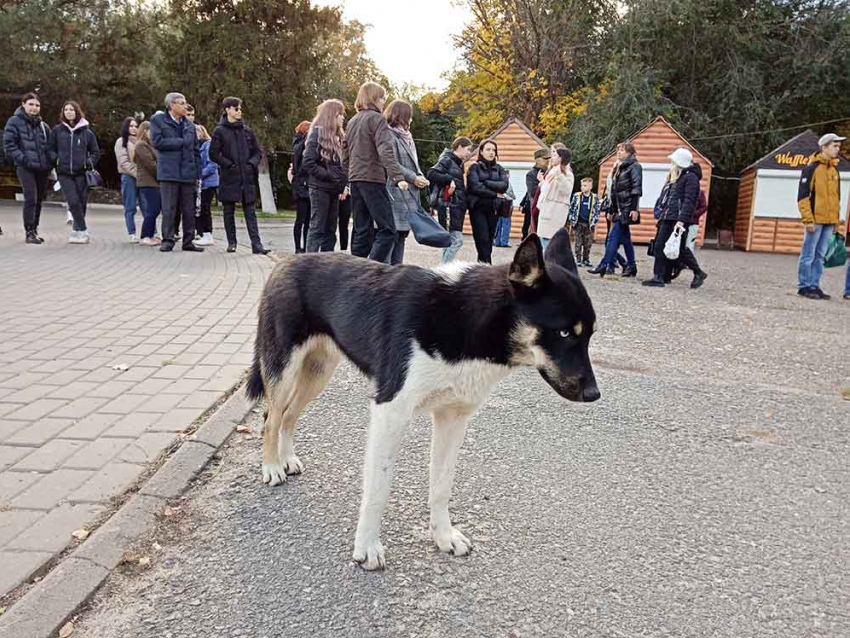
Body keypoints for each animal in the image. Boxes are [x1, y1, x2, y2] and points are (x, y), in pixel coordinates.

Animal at [245, 230, 596, 568]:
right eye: (565, 333)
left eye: (590, 335)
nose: (594, 394)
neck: (464, 317)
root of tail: (288, 261)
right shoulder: (390, 413)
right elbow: (378, 489)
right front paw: (367, 547)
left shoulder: (453, 419)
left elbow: (441, 486)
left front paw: (444, 536)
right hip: (286, 368)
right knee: (271, 417)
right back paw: (272, 467)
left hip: (318, 372)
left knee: (289, 415)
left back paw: (287, 459)